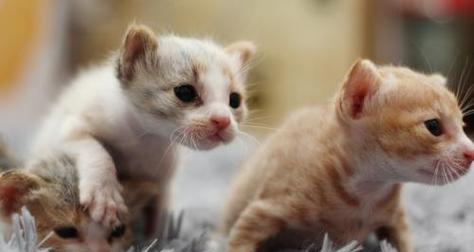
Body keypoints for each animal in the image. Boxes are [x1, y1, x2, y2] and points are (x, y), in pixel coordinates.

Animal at [221, 59, 474, 252]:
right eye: (434, 127)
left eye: (463, 125)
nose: (471, 152)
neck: (366, 192)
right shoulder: (265, 208)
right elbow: (239, 240)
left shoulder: (395, 217)